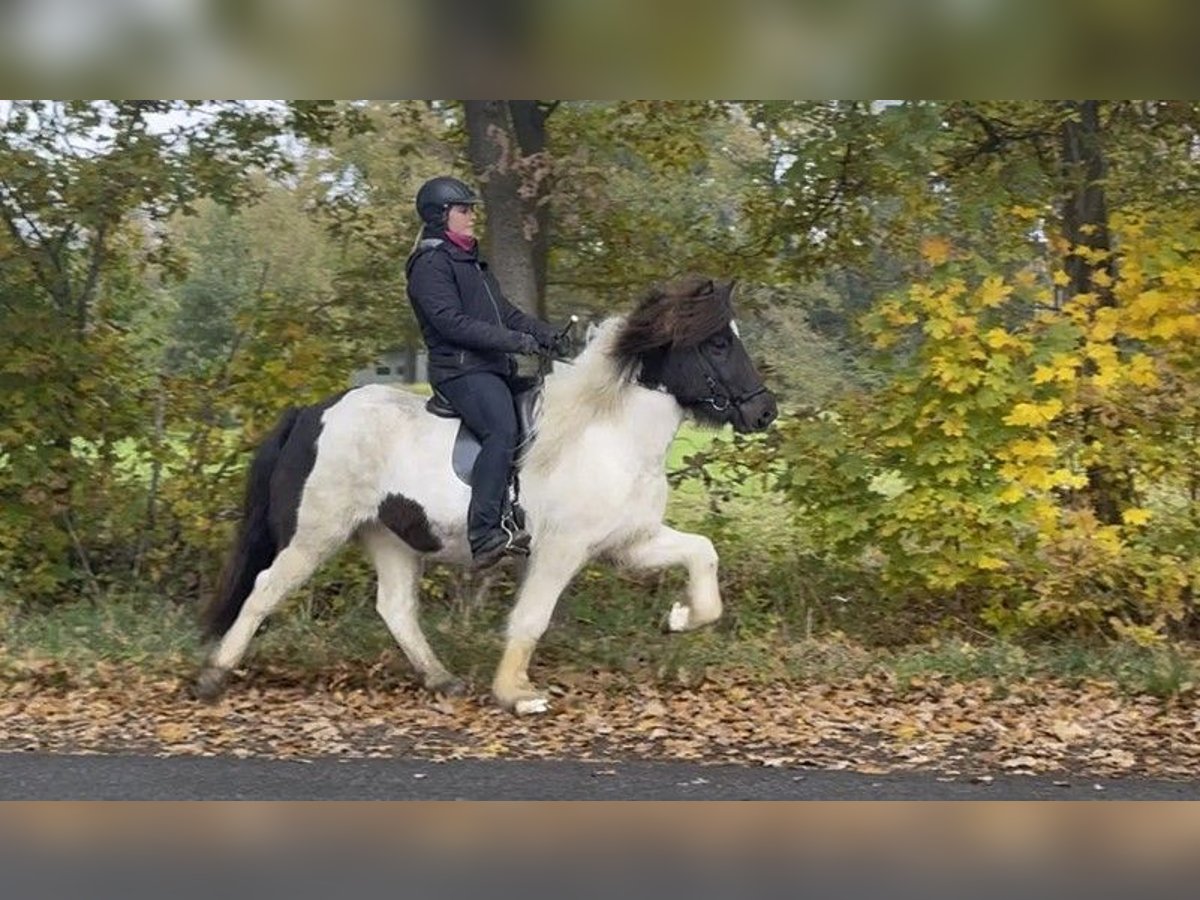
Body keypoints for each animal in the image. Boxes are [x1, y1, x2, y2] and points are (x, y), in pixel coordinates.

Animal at [194, 278, 777, 715]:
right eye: (719, 343)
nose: (764, 411)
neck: (607, 432)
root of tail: (311, 413)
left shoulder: (628, 542)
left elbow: (703, 553)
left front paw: (680, 617)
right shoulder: (561, 550)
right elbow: (532, 618)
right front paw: (516, 695)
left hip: (390, 536)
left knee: (395, 608)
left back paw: (443, 681)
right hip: (317, 532)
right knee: (266, 589)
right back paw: (213, 677)